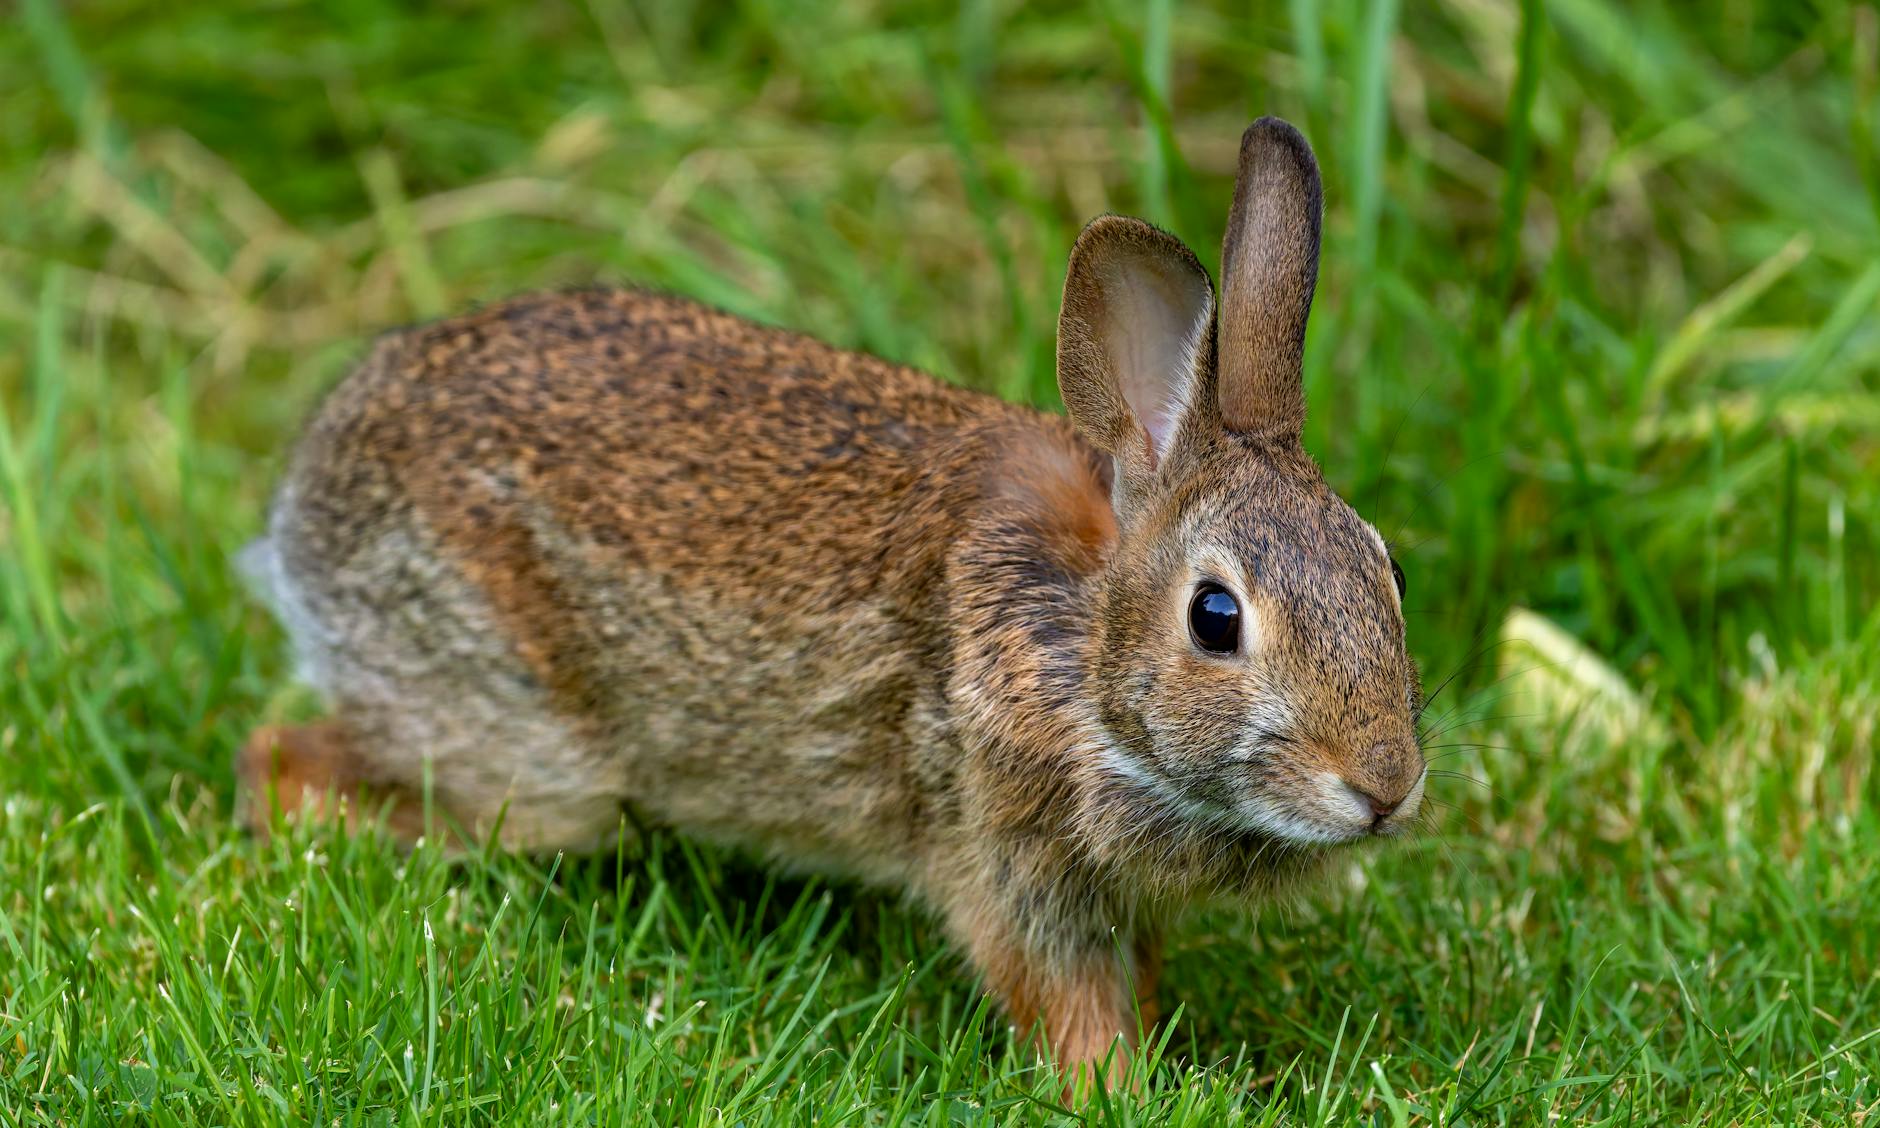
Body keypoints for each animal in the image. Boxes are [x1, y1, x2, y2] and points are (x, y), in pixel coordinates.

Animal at [238, 116, 1426, 1088]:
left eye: (1388, 572)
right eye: (1215, 619)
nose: (1384, 789)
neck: (1080, 645)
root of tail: (307, 486)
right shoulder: (1003, 859)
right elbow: (1066, 1004)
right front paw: (1118, 1092)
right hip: (522, 745)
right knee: (291, 762)